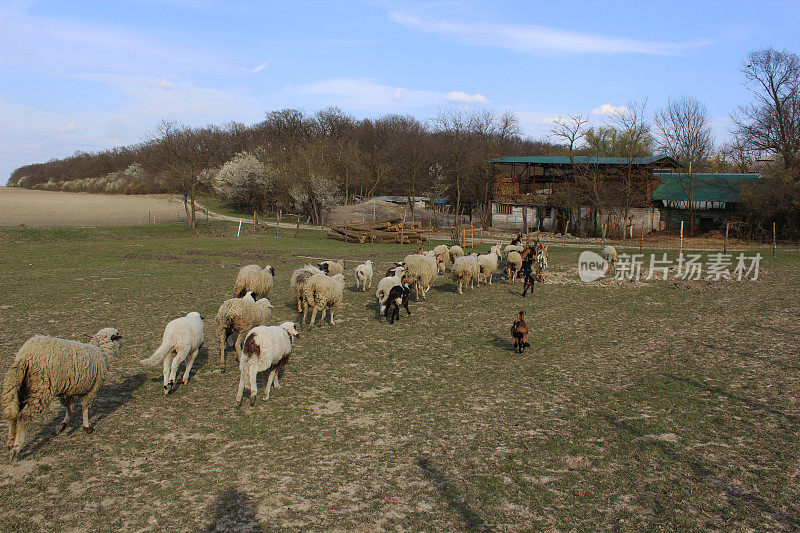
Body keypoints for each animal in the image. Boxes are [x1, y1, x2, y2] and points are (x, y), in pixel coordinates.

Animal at [1, 324, 122, 458]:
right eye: (117, 334)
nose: (122, 341)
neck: (102, 353)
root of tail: (25, 356)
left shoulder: (68, 389)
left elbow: (69, 408)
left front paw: (64, 424)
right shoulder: (92, 388)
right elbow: (84, 407)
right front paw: (86, 427)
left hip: (20, 384)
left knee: (13, 413)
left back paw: (10, 443)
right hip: (41, 388)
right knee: (24, 416)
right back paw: (16, 447)